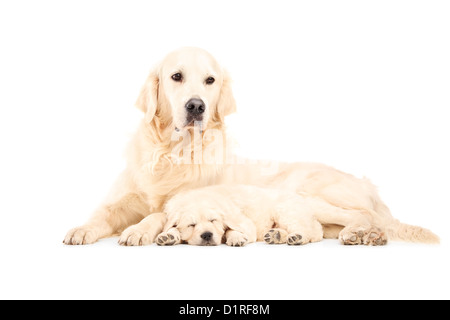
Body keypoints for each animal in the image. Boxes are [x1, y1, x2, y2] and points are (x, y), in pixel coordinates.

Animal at [63, 47, 440, 248]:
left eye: (210, 80)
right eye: (176, 77)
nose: (196, 106)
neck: (172, 154)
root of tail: (369, 185)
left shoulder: (191, 198)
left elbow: (157, 214)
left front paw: (139, 230)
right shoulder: (123, 198)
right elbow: (102, 213)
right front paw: (82, 229)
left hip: (314, 190)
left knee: (363, 216)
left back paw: (361, 233)